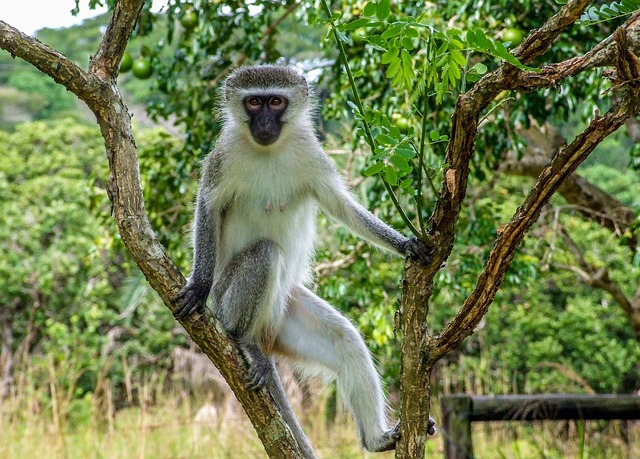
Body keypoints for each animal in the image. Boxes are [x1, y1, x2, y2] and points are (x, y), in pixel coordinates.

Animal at [174, 64, 436, 452]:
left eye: (276, 102)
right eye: (254, 102)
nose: (264, 123)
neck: (270, 150)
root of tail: (266, 332)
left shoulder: (311, 152)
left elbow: (343, 207)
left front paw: (406, 244)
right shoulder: (223, 156)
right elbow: (208, 205)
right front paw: (198, 286)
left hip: (287, 317)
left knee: (346, 343)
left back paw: (377, 440)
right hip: (227, 301)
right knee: (266, 255)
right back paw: (243, 340)